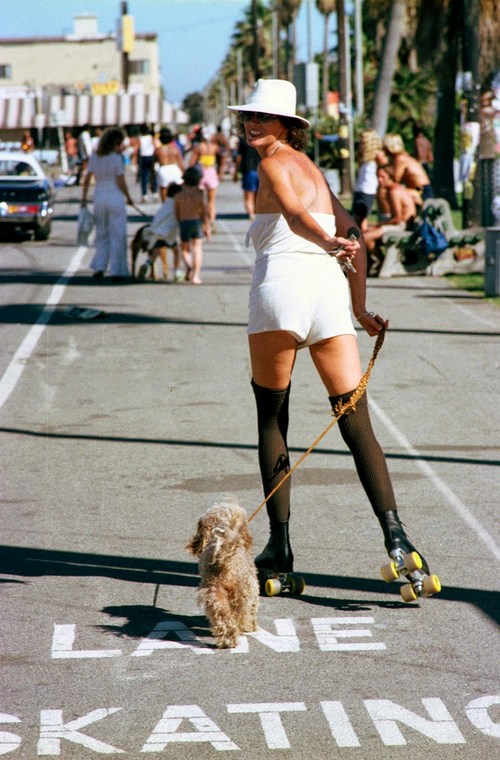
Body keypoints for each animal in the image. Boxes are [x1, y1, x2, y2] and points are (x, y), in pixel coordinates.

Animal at [186, 498, 260, 648]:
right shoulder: (253, 588)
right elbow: (252, 610)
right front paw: (251, 627)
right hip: (241, 592)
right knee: (241, 615)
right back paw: (242, 629)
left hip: (214, 596)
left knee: (223, 618)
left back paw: (227, 640)